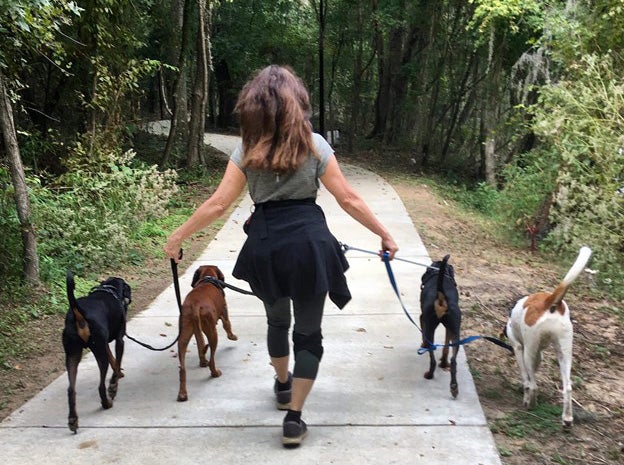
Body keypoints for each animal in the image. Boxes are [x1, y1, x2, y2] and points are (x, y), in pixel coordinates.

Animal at [62, 270, 131, 434]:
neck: (109, 290)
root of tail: (79, 313)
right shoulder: (120, 340)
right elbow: (117, 362)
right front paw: (114, 384)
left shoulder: (105, 344)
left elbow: (114, 360)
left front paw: (119, 374)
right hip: (98, 352)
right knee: (100, 386)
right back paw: (107, 402)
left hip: (72, 354)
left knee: (71, 389)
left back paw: (73, 420)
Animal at [177, 262, 238, 400]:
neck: (207, 278)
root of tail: (195, 305)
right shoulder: (224, 312)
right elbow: (227, 325)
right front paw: (232, 336)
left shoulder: (196, 330)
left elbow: (200, 345)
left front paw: (202, 361)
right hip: (212, 332)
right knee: (212, 359)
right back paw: (215, 373)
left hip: (183, 337)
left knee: (182, 369)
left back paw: (182, 393)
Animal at [416, 256, 460, 396]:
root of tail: (441, 296)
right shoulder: (449, 329)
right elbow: (446, 347)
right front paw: (444, 361)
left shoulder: (422, 318)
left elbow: (423, 335)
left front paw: (423, 345)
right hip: (456, 330)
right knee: (453, 360)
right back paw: (453, 385)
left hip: (430, 327)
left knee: (432, 359)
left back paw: (429, 375)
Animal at [504, 245, 592, 426]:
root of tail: (550, 302)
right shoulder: (539, 354)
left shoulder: (519, 348)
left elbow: (527, 378)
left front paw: (525, 394)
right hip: (564, 351)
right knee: (568, 387)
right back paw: (567, 419)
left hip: (529, 351)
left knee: (534, 385)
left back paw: (530, 404)